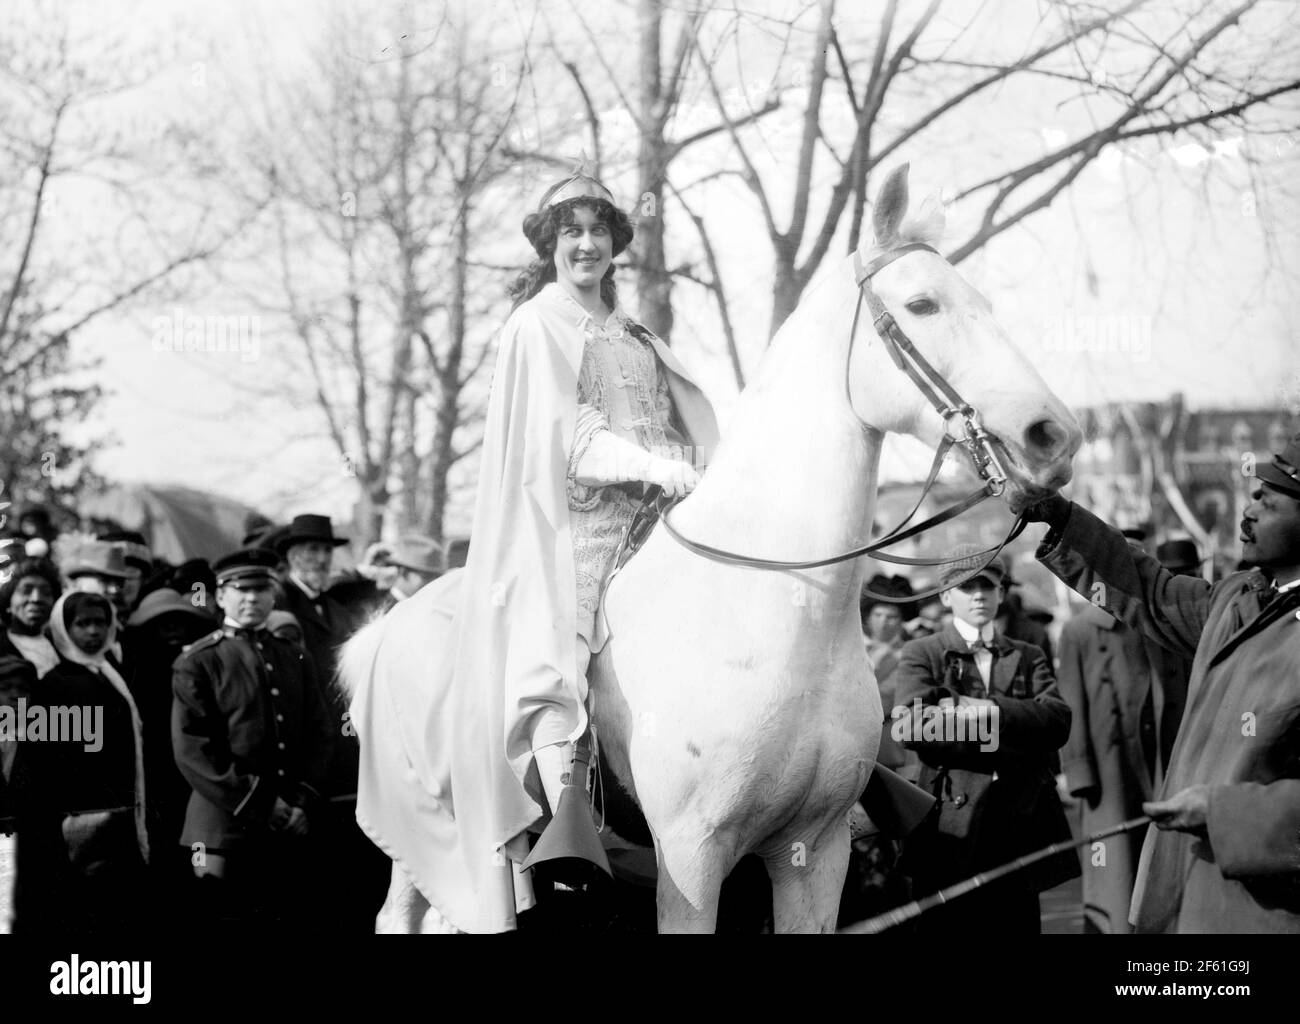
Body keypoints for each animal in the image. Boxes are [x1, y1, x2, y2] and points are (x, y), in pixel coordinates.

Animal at [340, 163, 1081, 930]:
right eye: (923, 303)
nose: (1053, 434)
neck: (780, 614)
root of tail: (388, 626)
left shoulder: (815, 853)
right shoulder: (691, 857)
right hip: (438, 846)